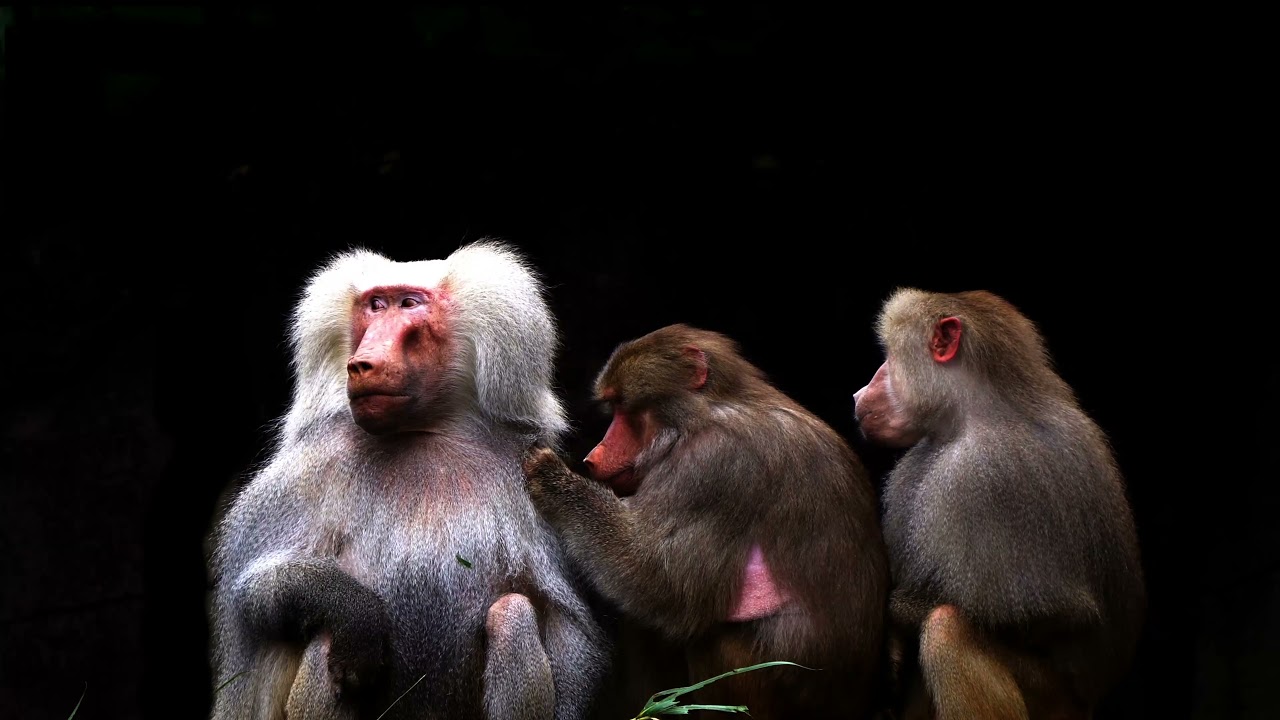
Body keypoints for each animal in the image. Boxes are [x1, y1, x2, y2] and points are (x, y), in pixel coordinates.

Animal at [205, 240, 610, 720]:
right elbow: (251, 597)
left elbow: (570, 628)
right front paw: (355, 612)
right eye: (375, 305)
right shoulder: (305, 471)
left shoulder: (528, 470)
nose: (362, 364)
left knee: (513, 615)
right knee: (327, 633)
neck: (421, 432)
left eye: (409, 304)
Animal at [523, 323, 890, 720]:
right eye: (613, 407)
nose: (593, 456)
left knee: (710, 638)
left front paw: (553, 479)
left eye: (623, 408)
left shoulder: (711, 468)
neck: (707, 413)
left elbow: (660, 582)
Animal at [851, 288, 1146, 720]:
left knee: (946, 628)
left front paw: (896, 620)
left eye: (887, 357)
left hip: (1053, 704)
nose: (858, 394)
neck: (971, 412)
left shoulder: (982, 473)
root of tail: (1087, 706)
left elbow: (1051, 612)